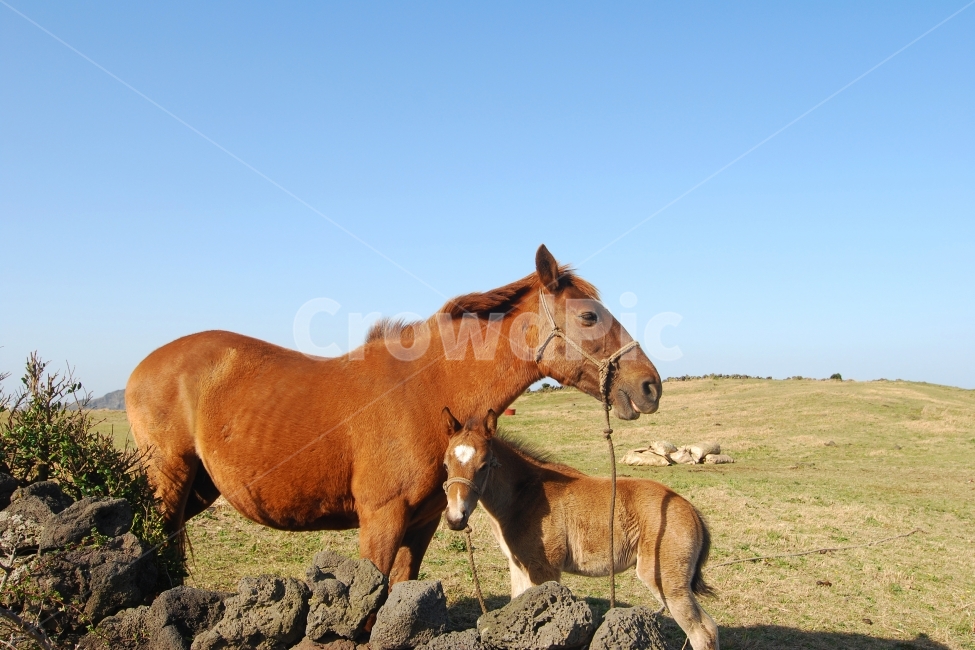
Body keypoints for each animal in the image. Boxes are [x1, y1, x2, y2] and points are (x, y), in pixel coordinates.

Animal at [126, 245, 662, 584]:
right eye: (589, 315)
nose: (649, 385)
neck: (426, 389)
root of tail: (140, 367)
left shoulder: (422, 525)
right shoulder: (381, 521)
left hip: (197, 488)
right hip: (168, 481)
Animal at [441, 408, 719, 650]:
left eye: (484, 465)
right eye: (445, 464)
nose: (456, 518)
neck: (525, 494)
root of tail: (691, 510)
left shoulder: (545, 570)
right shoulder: (519, 566)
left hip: (666, 582)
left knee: (701, 632)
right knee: (710, 628)